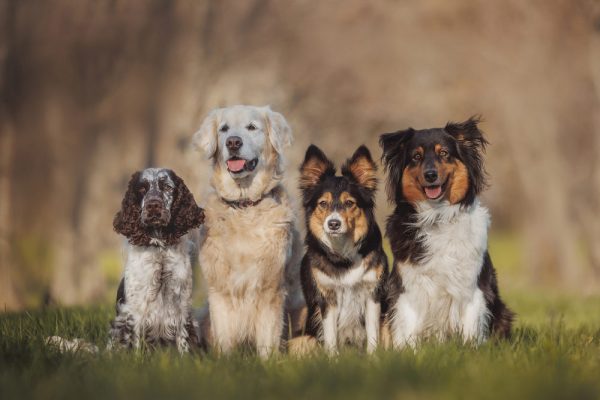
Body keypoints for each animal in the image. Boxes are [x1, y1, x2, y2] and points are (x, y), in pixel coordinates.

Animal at [296, 145, 390, 354]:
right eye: (323, 203)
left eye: (349, 203)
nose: (333, 224)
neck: (342, 254)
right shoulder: (327, 297)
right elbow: (330, 335)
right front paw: (333, 359)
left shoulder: (372, 292)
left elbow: (372, 332)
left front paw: (373, 357)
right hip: (303, 334)